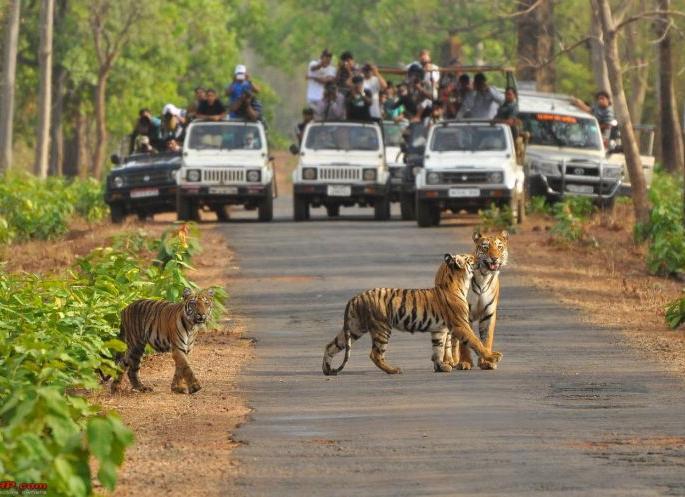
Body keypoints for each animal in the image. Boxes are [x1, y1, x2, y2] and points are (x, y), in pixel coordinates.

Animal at [322, 253, 503, 376]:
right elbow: (476, 342)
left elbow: (438, 349)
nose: (481, 258)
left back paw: (327, 369)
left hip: (354, 328)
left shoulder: (439, 330)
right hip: (382, 328)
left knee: (331, 345)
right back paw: (393, 370)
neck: (458, 282)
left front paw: (441, 367)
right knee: (375, 354)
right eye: (470, 258)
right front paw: (493, 357)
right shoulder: (460, 324)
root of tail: (356, 297)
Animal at [445, 231, 508, 371]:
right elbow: (465, 341)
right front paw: (465, 362)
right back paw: (451, 361)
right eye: (485, 247)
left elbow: (486, 338)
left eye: (499, 247)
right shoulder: (464, 314)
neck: (484, 276)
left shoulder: (489, 313)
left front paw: (487, 362)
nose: (495, 258)